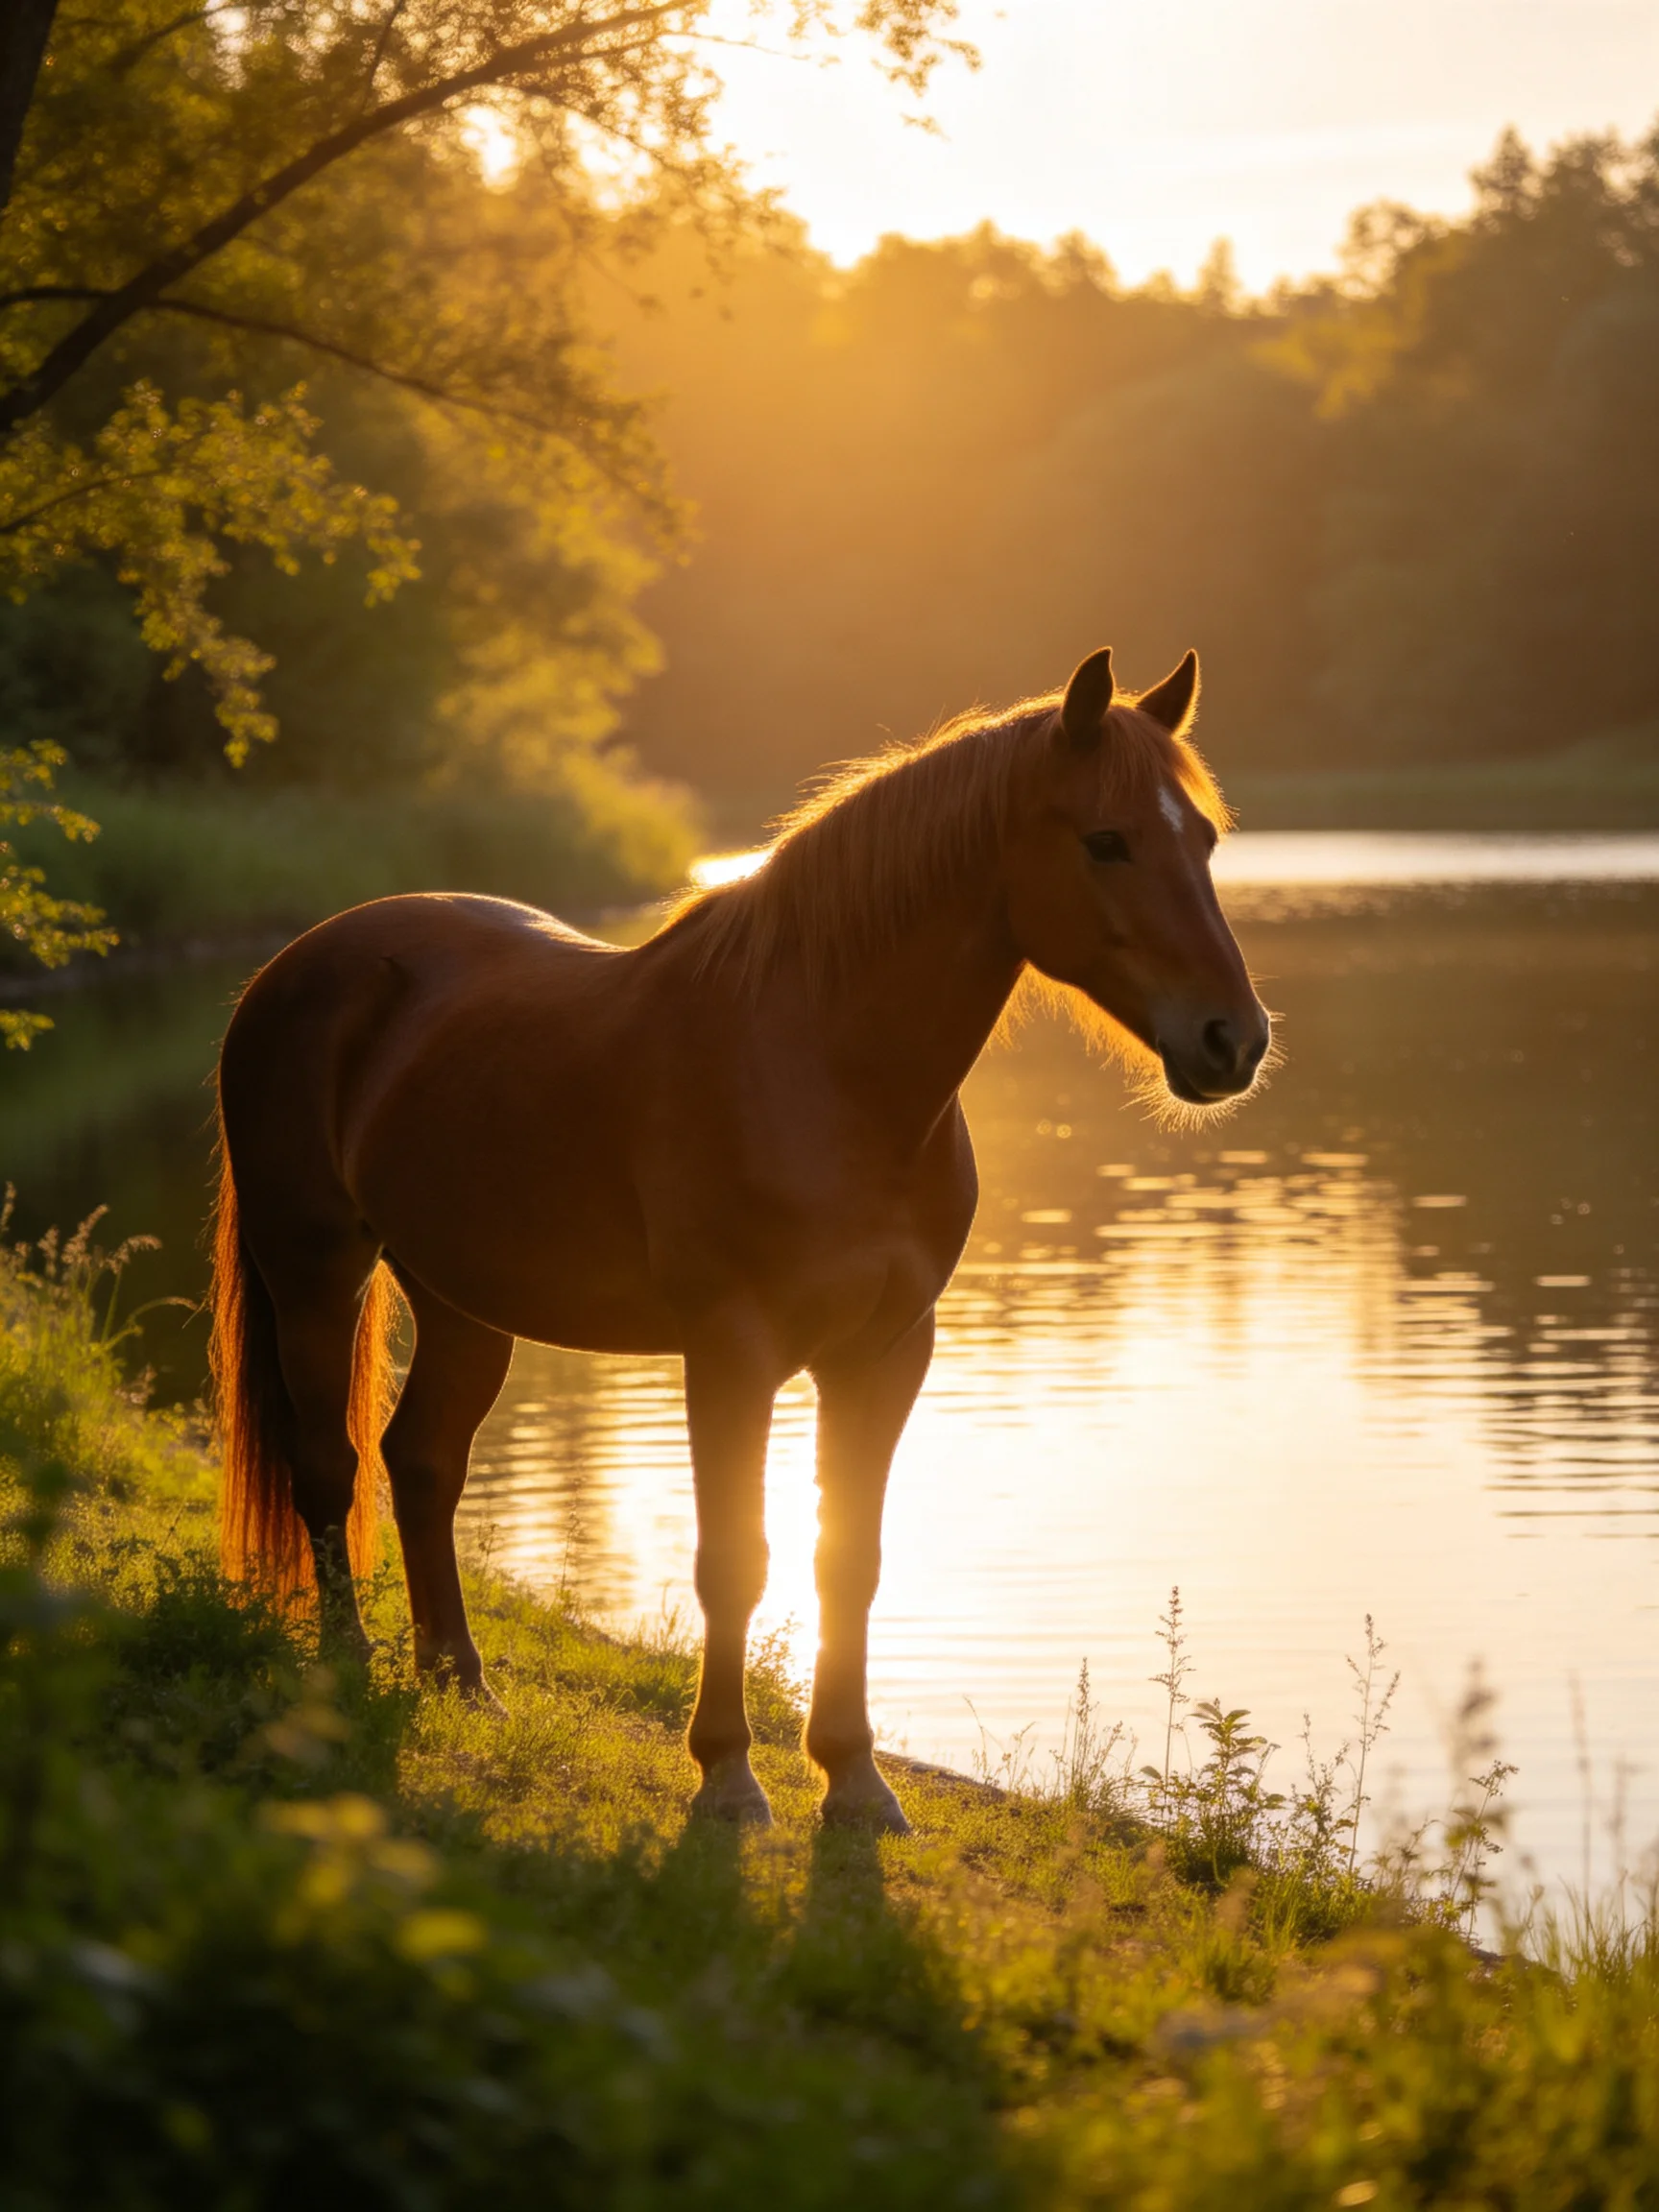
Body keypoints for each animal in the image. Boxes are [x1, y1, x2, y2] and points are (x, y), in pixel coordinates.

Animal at [211, 645, 1270, 1832]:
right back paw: (345, 1664)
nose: (1233, 1041)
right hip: (314, 1268)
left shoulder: (886, 1354)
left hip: (461, 1302)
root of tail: (299, 962)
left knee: (422, 1463)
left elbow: (846, 1558)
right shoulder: (731, 1352)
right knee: (328, 1464)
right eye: (1106, 840)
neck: (827, 1073)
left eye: (1206, 840)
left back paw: (461, 1681)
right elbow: (738, 1558)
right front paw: (726, 1774)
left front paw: (854, 1780)